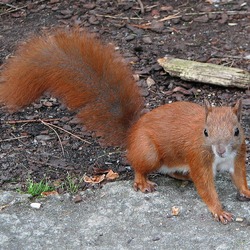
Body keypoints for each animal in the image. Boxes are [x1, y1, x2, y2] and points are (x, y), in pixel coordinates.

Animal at [0, 29, 249, 223]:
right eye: (205, 132)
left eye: (237, 131)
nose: (221, 150)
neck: (220, 157)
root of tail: (132, 133)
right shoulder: (198, 158)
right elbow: (206, 187)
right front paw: (218, 210)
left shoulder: (238, 156)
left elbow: (239, 177)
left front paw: (246, 191)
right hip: (149, 152)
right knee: (139, 166)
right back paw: (143, 182)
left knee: (172, 172)